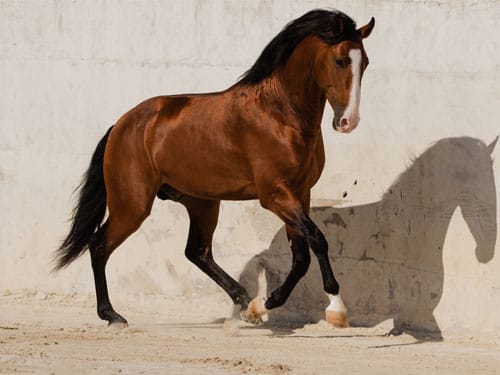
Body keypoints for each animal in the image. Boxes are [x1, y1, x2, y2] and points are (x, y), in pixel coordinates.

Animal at [54, 7, 376, 328]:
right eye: (340, 60)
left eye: (365, 62)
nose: (348, 122)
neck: (281, 115)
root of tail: (122, 124)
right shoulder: (275, 195)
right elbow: (317, 241)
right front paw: (336, 308)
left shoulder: (300, 193)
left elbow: (301, 256)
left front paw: (262, 305)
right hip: (132, 205)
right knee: (99, 245)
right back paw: (111, 314)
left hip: (201, 202)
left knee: (197, 252)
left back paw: (243, 300)